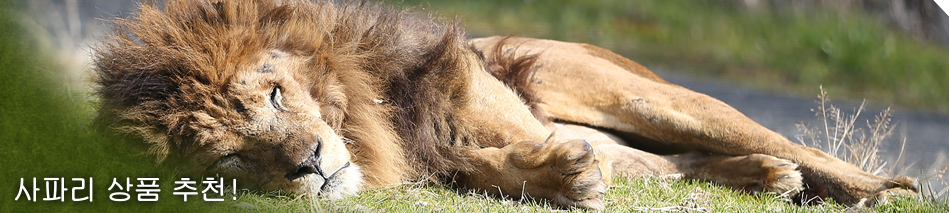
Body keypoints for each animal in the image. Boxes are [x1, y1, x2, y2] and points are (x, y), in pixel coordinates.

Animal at [93, 0, 920, 210]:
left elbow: (500, 141)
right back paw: (769, 178)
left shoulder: (480, 99)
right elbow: (492, 167)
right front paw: (564, 177)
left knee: (764, 138)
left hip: (616, 86)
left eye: (272, 91)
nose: (311, 163)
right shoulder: (439, 153)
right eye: (232, 155)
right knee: (674, 160)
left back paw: (871, 184)